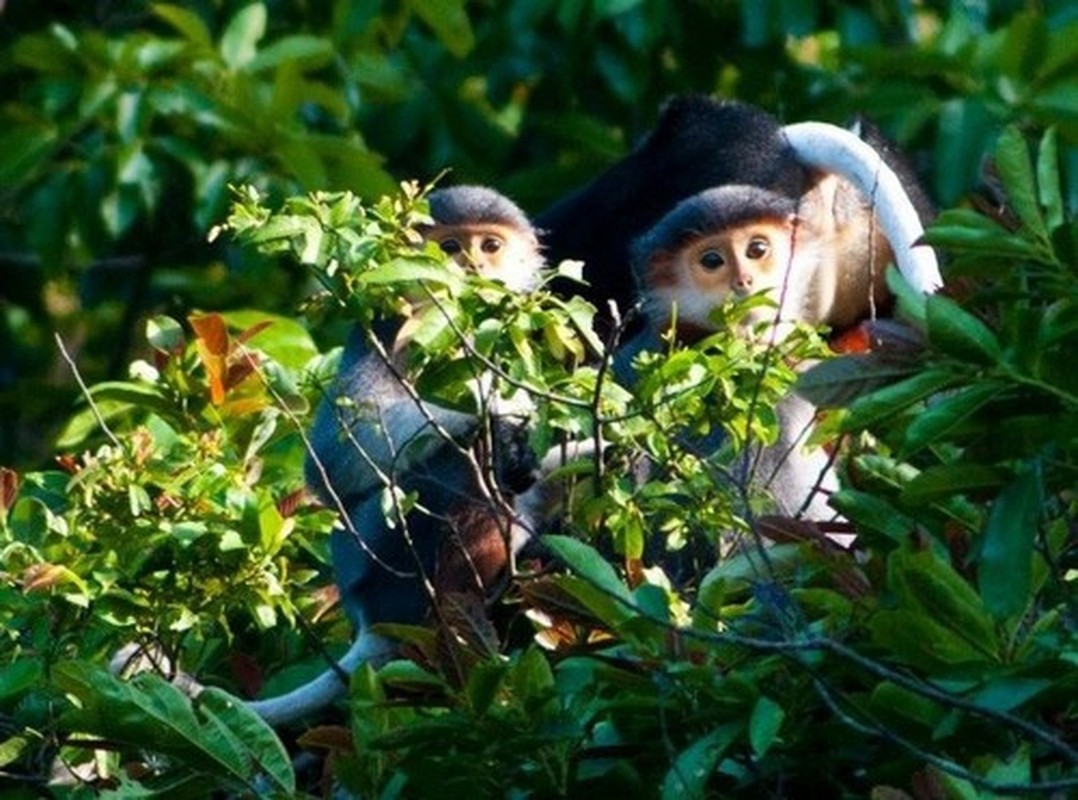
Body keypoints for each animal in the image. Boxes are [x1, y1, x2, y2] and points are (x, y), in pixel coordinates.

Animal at [246, 186, 547, 728]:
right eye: (450, 248)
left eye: (491, 245)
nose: (474, 266)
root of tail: (368, 619)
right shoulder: (395, 331)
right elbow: (335, 457)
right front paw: (498, 414)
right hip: (384, 557)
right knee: (459, 462)